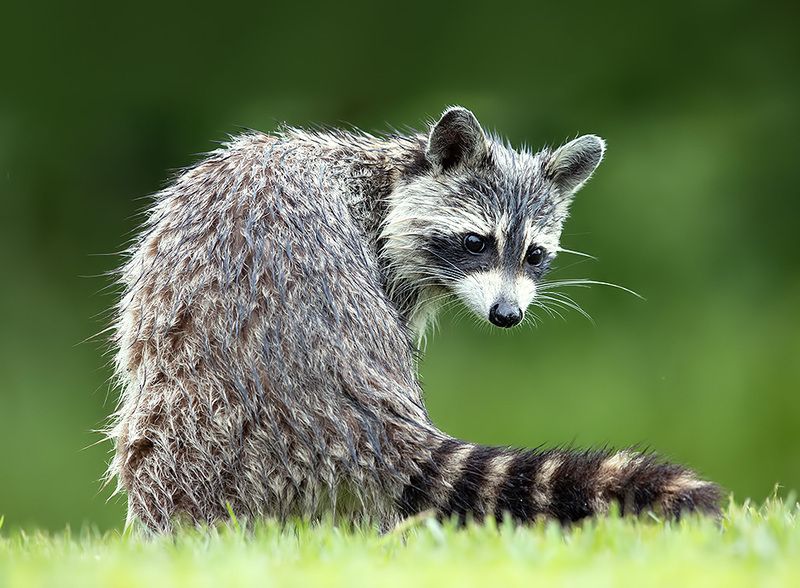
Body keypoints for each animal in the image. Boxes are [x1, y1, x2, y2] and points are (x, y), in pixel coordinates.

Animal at [108, 106, 721, 531]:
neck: (386, 178)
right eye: (476, 242)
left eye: (533, 255)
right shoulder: (380, 263)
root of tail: (345, 409)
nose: (507, 314)